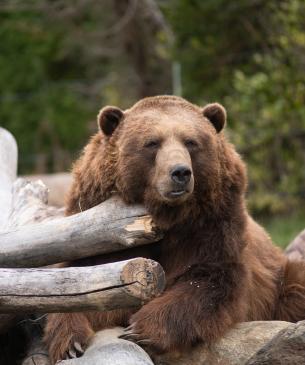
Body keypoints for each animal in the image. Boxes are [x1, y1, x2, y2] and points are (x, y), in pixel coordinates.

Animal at [44, 95, 304, 362]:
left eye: (191, 142)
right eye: (151, 143)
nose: (180, 172)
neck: (166, 217)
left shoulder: (212, 225)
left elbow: (209, 280)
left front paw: (141, 329)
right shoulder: (99, 232)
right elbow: (84, 284)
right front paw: (70, 342)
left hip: (281, 278)